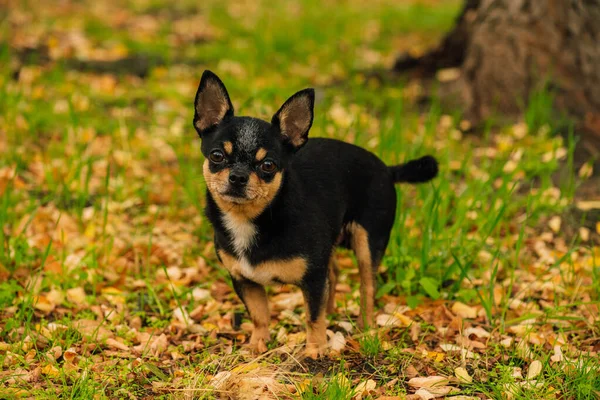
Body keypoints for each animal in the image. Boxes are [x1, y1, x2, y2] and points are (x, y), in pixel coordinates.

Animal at [195, 70, 438, 358]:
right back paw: (332, 312)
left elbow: (312, 315)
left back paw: (365, 326)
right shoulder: (245, 280)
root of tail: (388, 170)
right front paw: (258, 343)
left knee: (367, 287)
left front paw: (316, 349)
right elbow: (259, 314)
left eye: (268, 165)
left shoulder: (312, 278)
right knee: (333, 275)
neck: (252, 219)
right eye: (217, 156)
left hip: (368, 243)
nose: (238, 177)